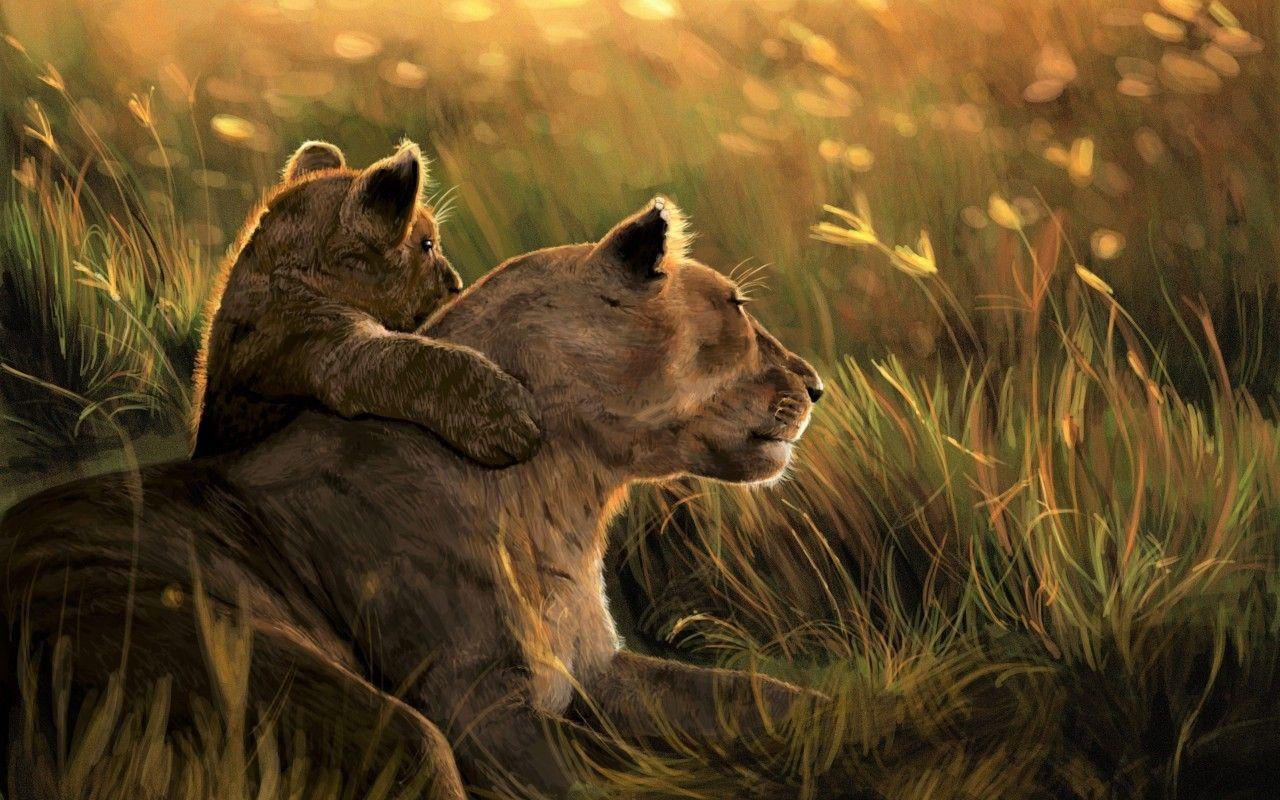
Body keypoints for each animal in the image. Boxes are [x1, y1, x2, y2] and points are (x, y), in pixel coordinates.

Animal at [2, 198, 827, 798]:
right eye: (737, 307)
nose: (816, 384)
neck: (568, 493)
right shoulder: (475, 706)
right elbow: (578, 780)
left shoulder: (592, 671)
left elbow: (752, 695)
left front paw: (849, 729)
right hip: (314, 699)